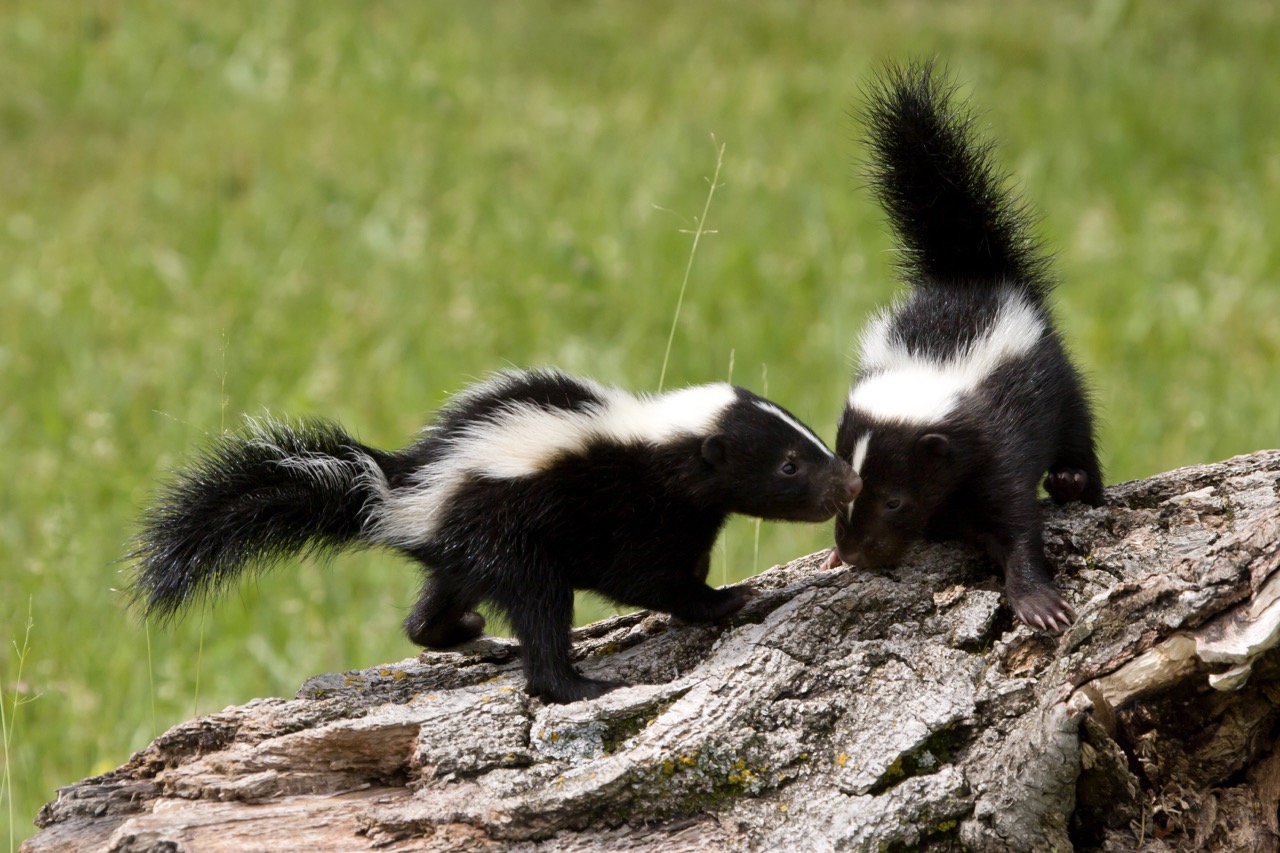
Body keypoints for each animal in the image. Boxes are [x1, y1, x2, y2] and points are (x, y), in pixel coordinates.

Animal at [132, 368, 860, 701]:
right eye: (789, 465)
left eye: (810, 441)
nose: (850, 483)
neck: (656, 442)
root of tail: (401, 493)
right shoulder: (626, 509)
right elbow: (645, 577)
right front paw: (725, 599)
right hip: (505, 536)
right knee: (540, 609)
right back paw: (575, 684)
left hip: (465, 550)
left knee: (430, 611)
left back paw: (468, 633)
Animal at [824, 61, 1105, 630]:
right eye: (847, 488)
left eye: (895, 502)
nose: (856, 551)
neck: (931, 367)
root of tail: (972, 271)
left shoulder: (997, 444)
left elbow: (1015, 522)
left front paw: (1039, 602)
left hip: (1056, 378)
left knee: (1080, 434)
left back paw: (1073, 482)